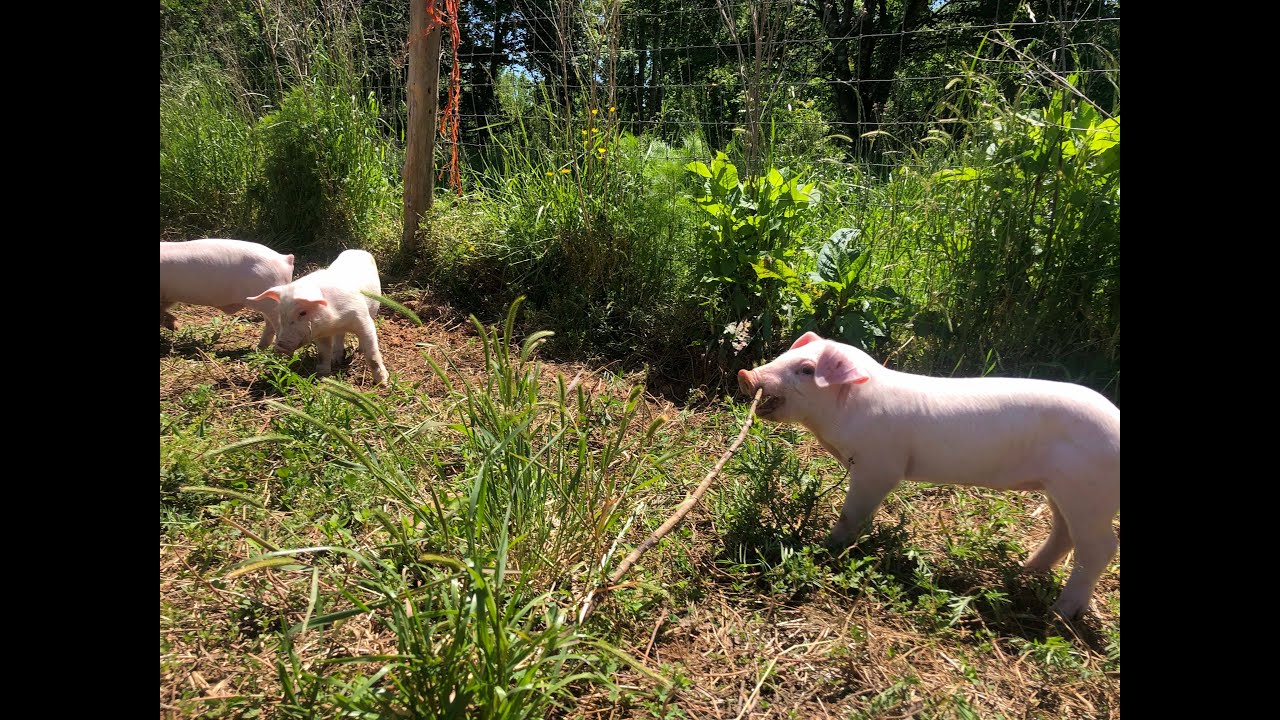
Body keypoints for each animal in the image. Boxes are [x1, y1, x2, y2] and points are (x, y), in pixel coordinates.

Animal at [160, 238, 295, 349]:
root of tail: (284, 259)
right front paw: (175, 326)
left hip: (270, 301)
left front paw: (175, 326)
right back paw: (260, 348)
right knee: (269, 324)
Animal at [246, 249, 389, 385]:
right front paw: (322, 375)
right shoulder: (320, 333)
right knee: (339, 337)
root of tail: (358, 250)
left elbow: (372, 354)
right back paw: (336, 360)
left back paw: (360, 351)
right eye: (281, 314)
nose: (280, 346)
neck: (335, 322)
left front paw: (383, 383)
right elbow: (323, 353)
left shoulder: (363, 320)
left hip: (373, 309)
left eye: (302, 313)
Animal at [737, 331, 1120, 619]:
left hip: (1087, 491)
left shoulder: (880, 465)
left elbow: (852, 512)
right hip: (1059, 489)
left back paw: (1059, 613)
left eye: (806, 369)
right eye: (786, 353)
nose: (746, 375)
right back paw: (1025, 570)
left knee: (1100, 547)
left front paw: (828, 546)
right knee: (1065, 534)